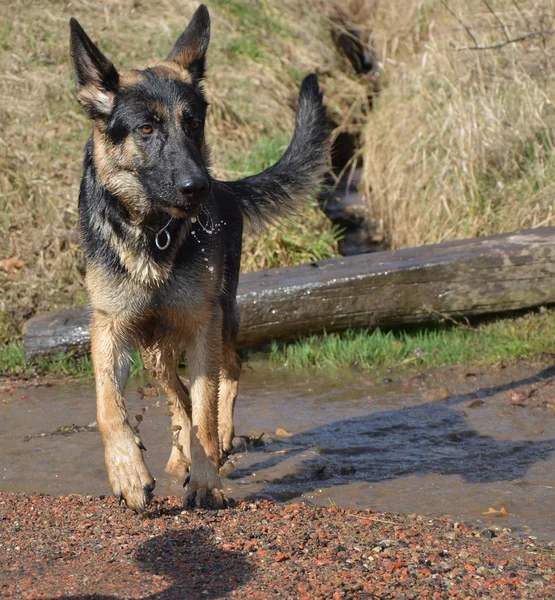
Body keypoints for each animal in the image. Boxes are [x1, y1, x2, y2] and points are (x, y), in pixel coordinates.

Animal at [69, 3, 330, 510]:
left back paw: (220, 441)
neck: (153, 234)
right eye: (146, 128)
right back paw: (178, 457)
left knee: (229, 372)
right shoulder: (110, 325)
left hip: (219, 319)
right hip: (156, 349)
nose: (198, 188)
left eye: (193, 123)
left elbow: (205, 407)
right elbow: (109, 405)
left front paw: (208, 479)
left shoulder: (201, 324)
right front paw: (128, 470)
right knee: (178, 399)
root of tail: (226, 186)